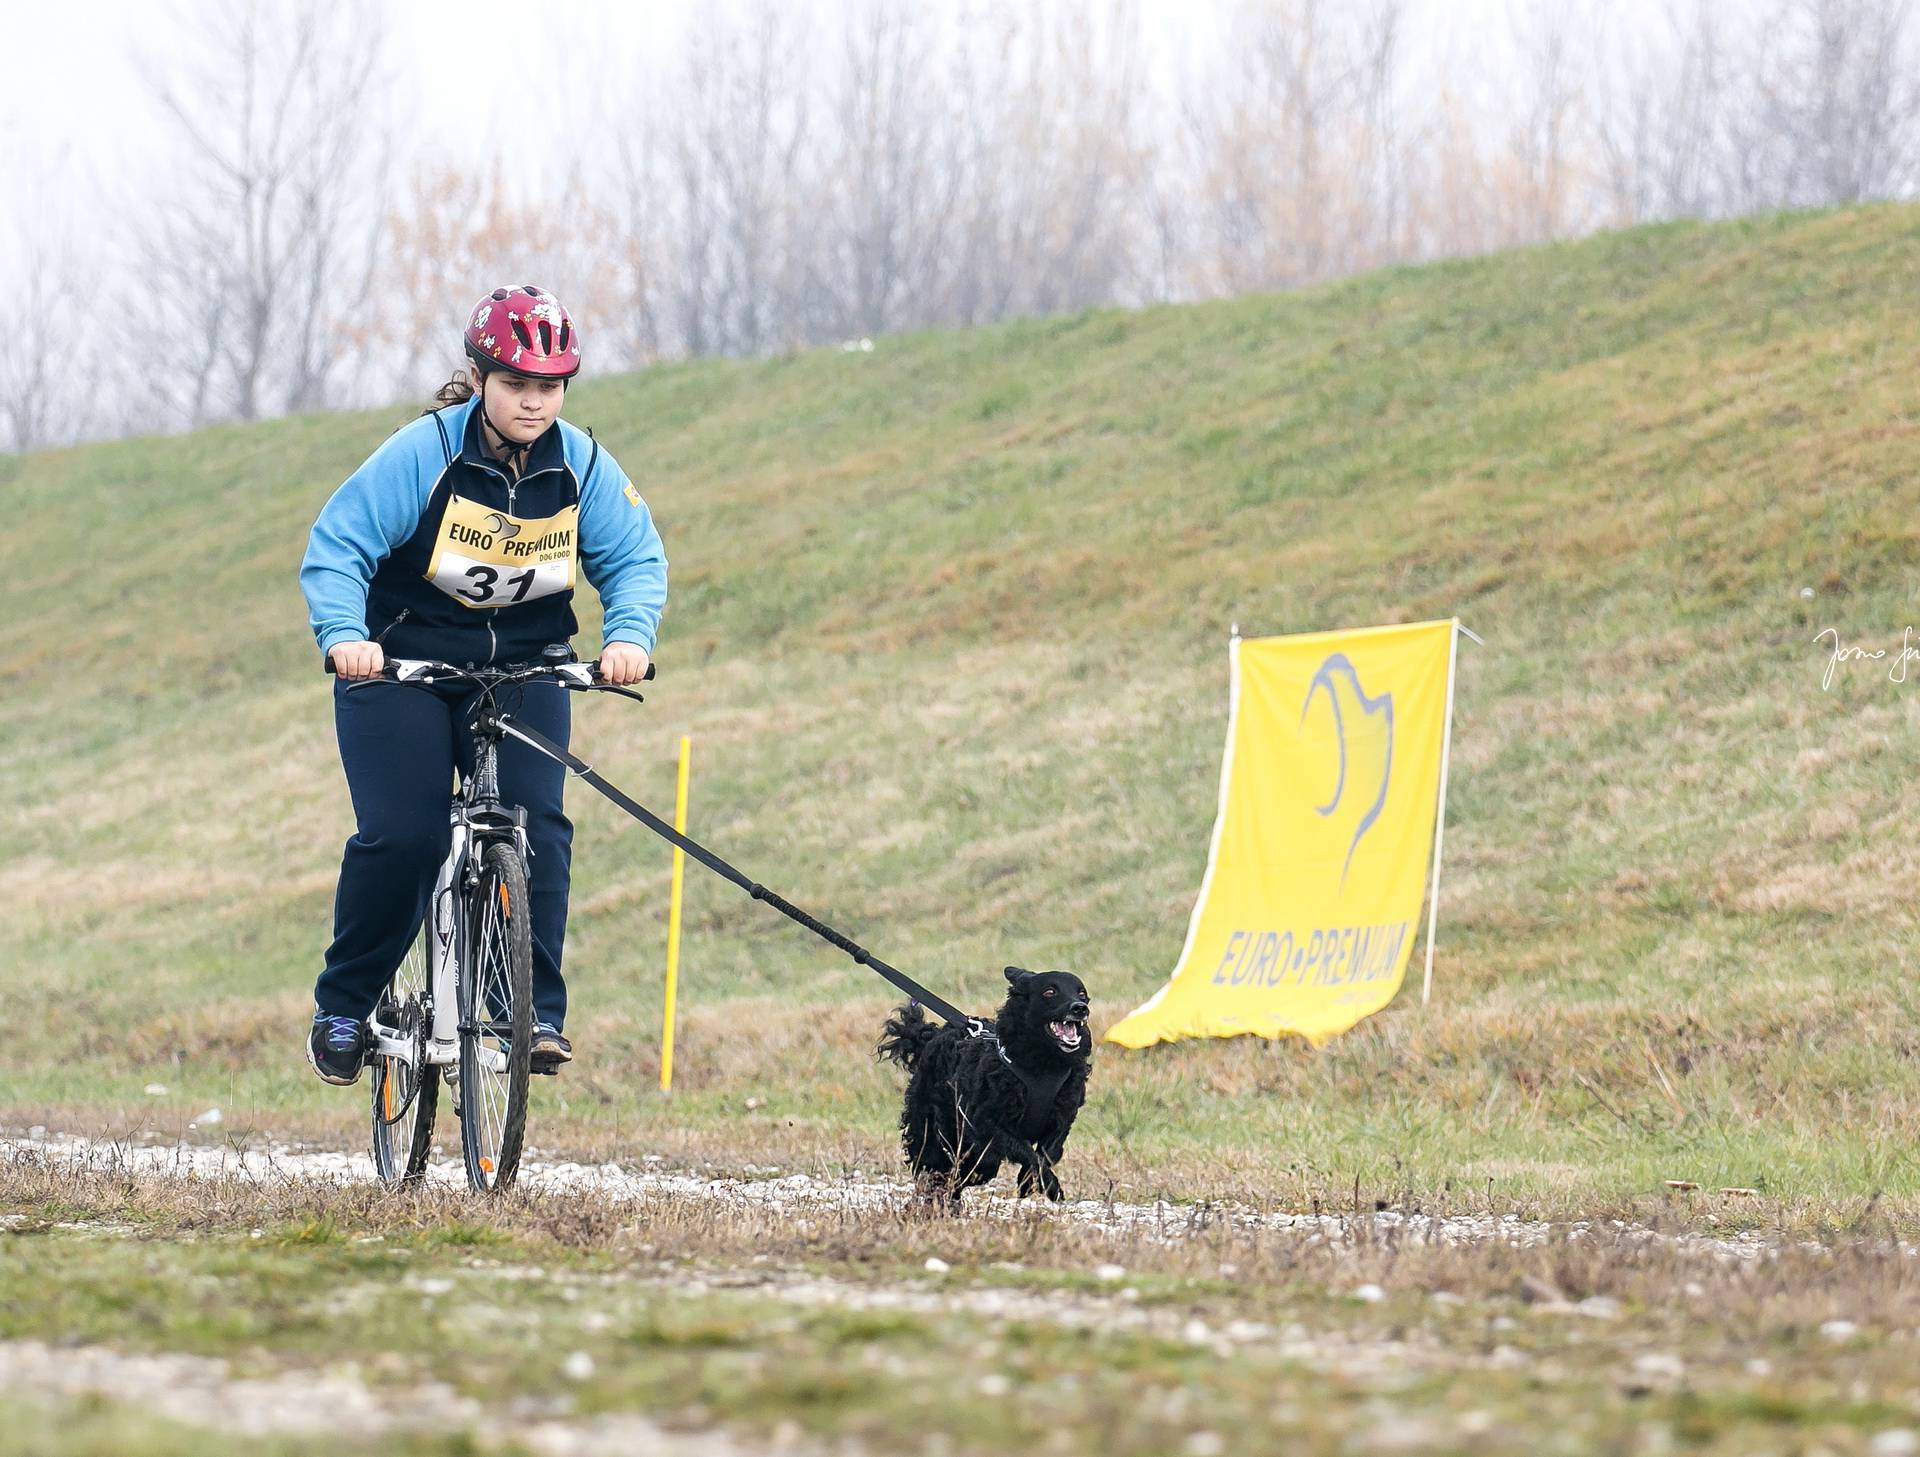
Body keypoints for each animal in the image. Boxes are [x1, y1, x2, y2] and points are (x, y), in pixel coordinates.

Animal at [875, 967, 1090, 1205]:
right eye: (1050, 991)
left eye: (1081, 993)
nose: (1080, 1008)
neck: (1043, 1066)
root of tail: (933, 1035)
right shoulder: (985, 1121)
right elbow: (1025, 1151)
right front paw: (1050, 1186)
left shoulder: (1062, 1119)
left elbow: (1046, 1154)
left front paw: (1030, 1182)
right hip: (933, 1129)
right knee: (936, 1169)